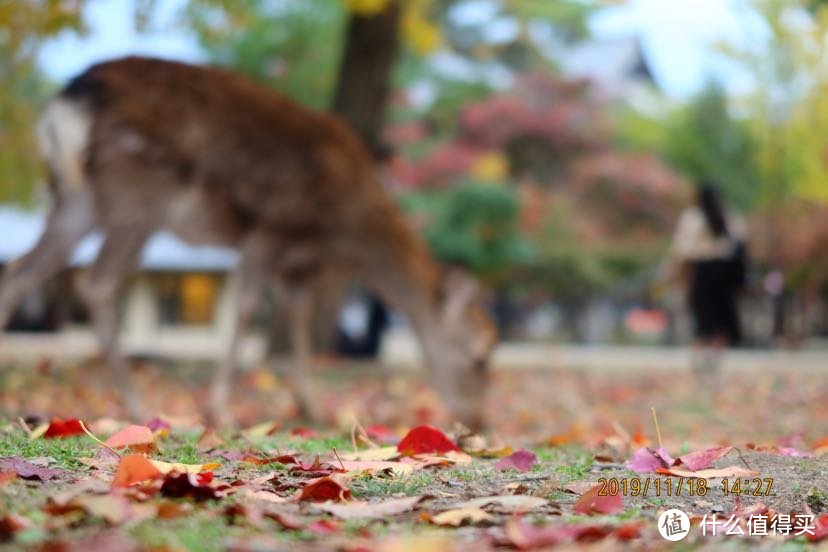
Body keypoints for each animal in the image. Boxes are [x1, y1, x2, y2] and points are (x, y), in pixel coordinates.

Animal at [0, 57, 494, 426]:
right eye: (480, 358)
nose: (477, 420)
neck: (341, 233)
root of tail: (67, 100)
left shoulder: (297, 264)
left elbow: (298, 319)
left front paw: (311, 408)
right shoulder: (270, 229)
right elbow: (247, 307)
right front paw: (219, 409)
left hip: (76, 199)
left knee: (21, 272)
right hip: (137, 195)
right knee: (97, 284)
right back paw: (139, 405)